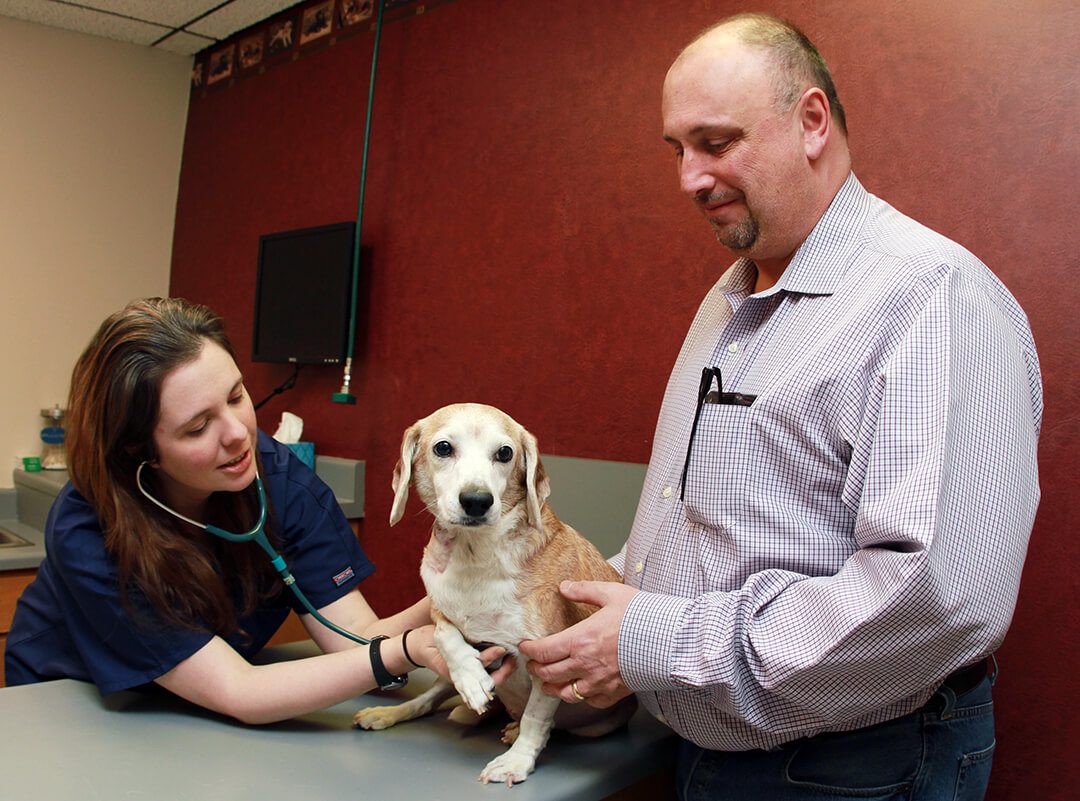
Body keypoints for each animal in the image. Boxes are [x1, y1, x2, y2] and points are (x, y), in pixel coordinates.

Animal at [354, 403, 635, 785]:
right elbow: (445, 635)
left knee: (541, 723)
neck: (476, 557)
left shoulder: (548, 663)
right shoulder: (439, 611)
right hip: (440, 681)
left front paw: (517, 760)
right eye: (443, 447)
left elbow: (536, 720)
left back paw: (513, 730)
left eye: (504, 453)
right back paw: (388, 713)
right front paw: (471, 676)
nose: (476, 501)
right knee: (427, 699)